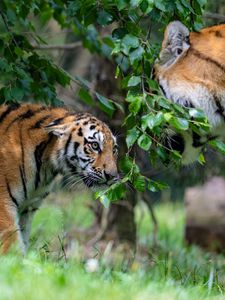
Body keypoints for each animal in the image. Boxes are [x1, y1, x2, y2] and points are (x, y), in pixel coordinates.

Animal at [0, 103, 118, 253]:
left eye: (114, 149)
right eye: (95, 145)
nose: (112, 176)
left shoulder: (28, 208)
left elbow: (23, 239)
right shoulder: (3, 204)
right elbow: (11, 245)